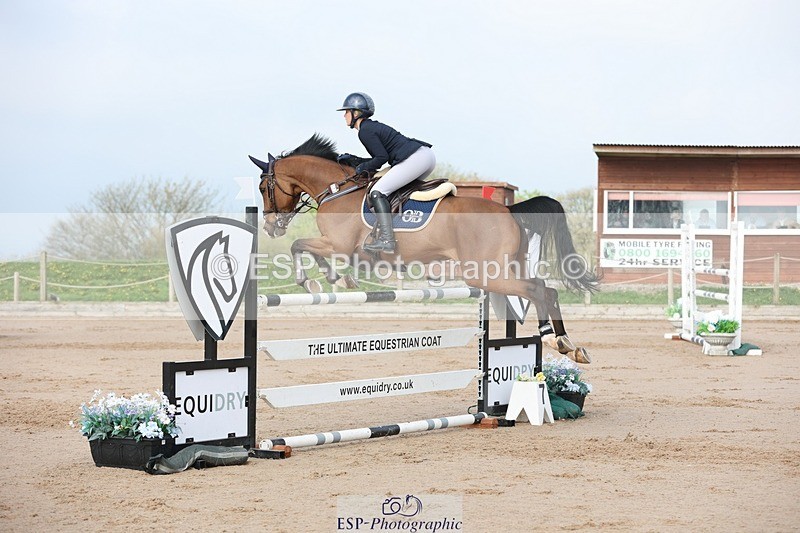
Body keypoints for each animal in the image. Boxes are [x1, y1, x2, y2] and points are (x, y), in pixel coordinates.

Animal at [249, 134, 598, 362]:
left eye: (264, 186)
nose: (270, 225)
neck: (337, 190)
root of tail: (509, 210)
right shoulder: (341, 248)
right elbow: (309, 250)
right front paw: (335, 278)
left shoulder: (339, 245)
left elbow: (299, 245)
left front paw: (312, 280)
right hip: (507, 267)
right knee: (547, 289)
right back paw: (568, 344)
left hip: (486, 275)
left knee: (538, 290)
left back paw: (555, 340)